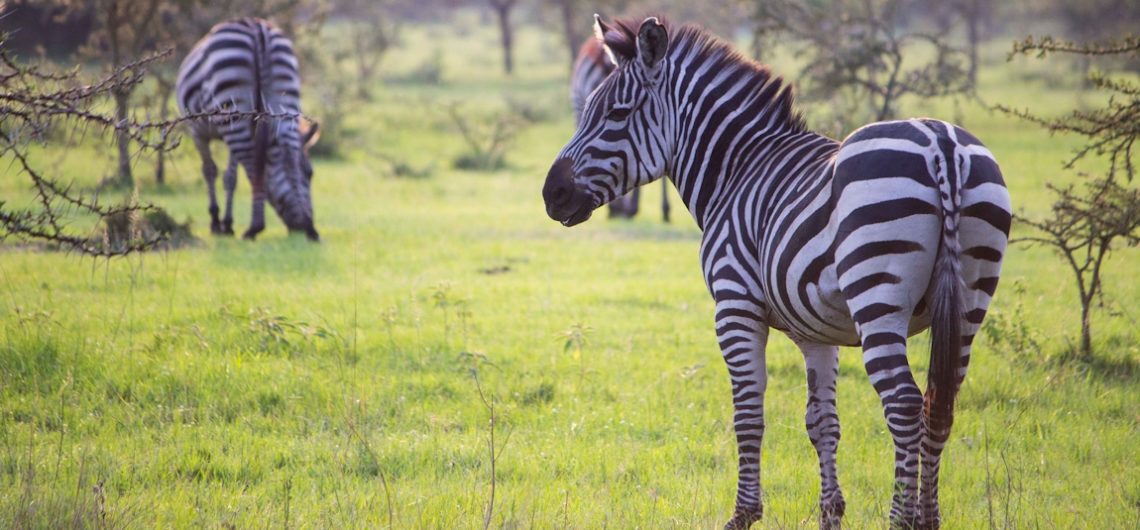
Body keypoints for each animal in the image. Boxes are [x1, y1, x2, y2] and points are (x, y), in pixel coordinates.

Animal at [177, 16, 321, 239]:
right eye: (310, 173)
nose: (297, 225)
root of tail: (257, 28)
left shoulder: (197, 131)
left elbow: (210, 171)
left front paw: (217, 222)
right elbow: (230, 177)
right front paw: (226, 222)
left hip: (232, 104)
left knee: (253, 166)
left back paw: (255, 227)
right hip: (285, 94)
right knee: (288, 155)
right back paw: (306, 227)